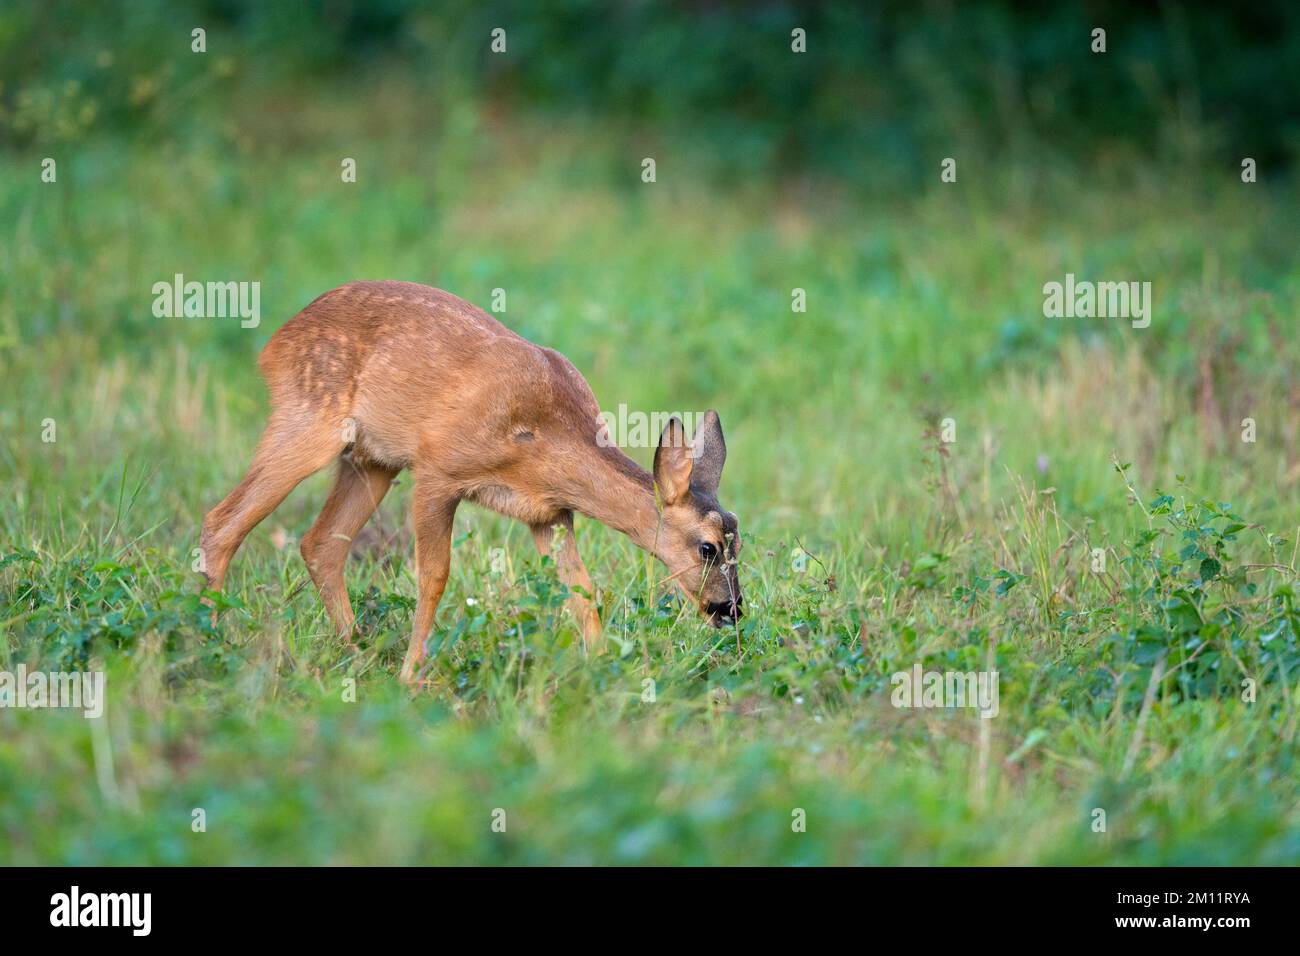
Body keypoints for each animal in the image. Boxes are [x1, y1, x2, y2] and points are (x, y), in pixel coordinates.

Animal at [201, 280, 743, 686]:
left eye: (741, 541)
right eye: (708, 547)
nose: (731, 609)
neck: (546, 437)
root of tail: (275, 342)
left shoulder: (549, 513)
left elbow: (581, 587)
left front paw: (602, 664)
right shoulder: (438, 471)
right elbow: (434, 576)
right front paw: (412, 676)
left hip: (373, 461)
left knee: (320, 543)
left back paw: (354, 649)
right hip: (309, 419)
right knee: (221, 523)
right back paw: (210, 639)